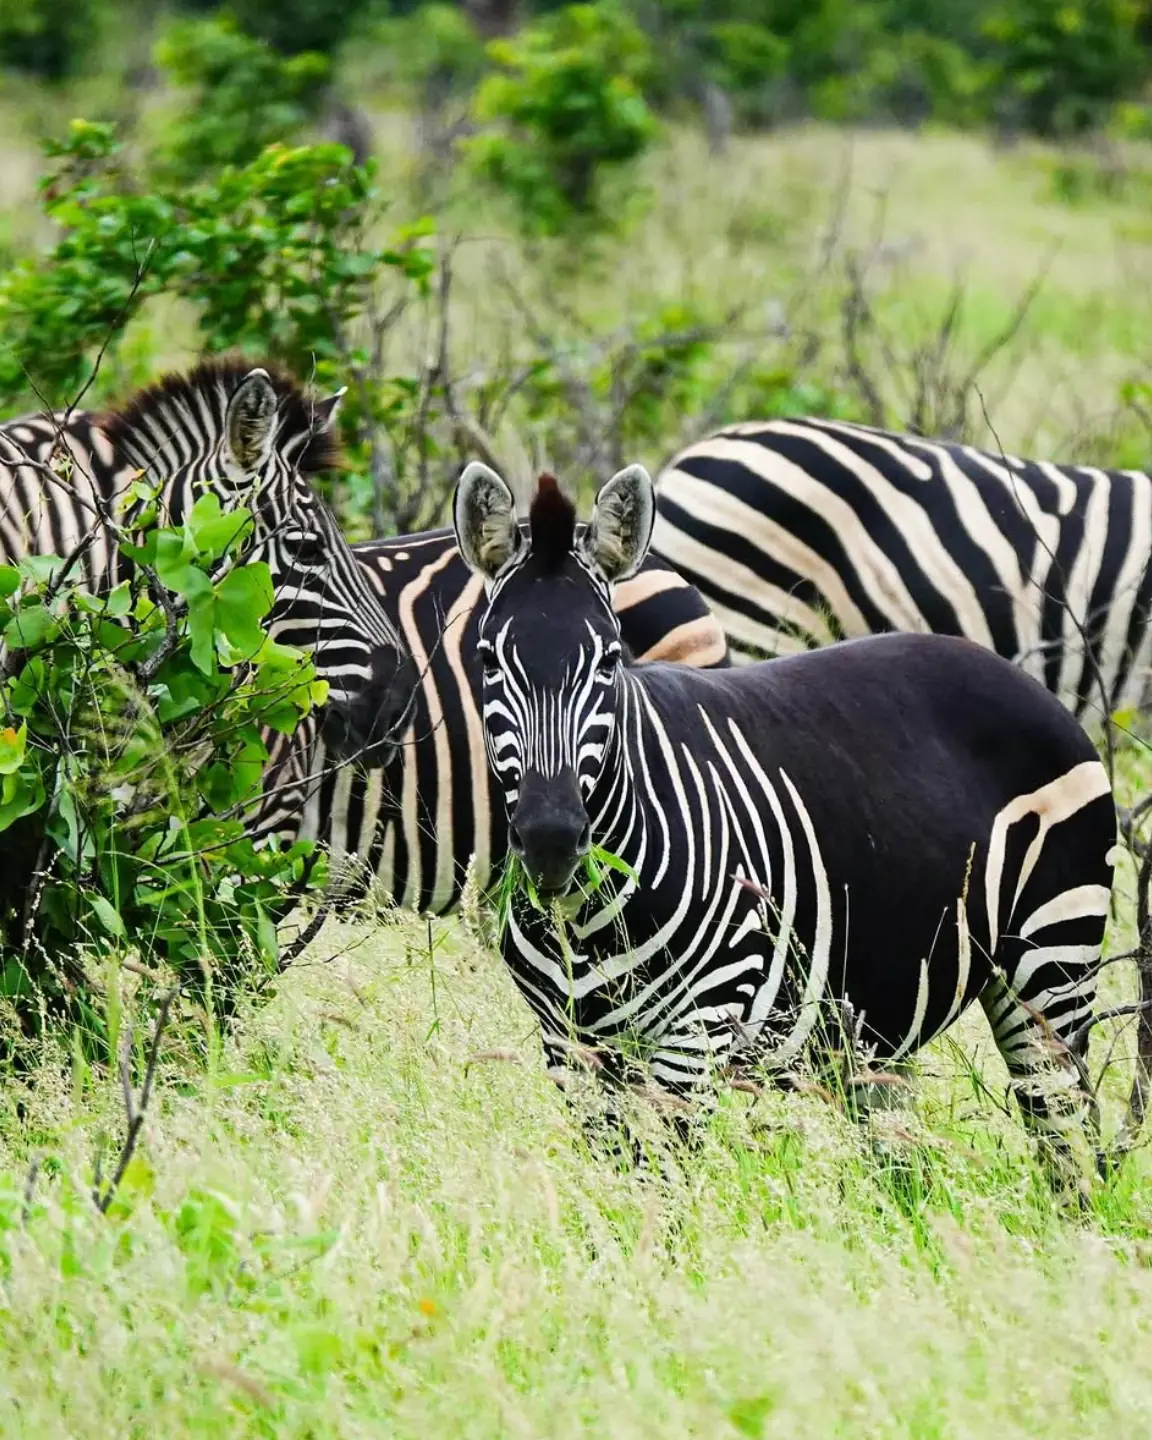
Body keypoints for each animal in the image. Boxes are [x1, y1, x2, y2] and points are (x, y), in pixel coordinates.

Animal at [453, 458, 1123, 1187]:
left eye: (609, 660)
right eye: (486, 660)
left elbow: (664, 1192)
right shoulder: (572, 1047)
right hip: (881, 1024)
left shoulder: (698, 1030)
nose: (550, 839)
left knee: (1067, 1142)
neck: (584, 917)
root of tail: (1015, 675)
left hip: (1052, 960)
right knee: (907, 1172)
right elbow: (615, 1189)